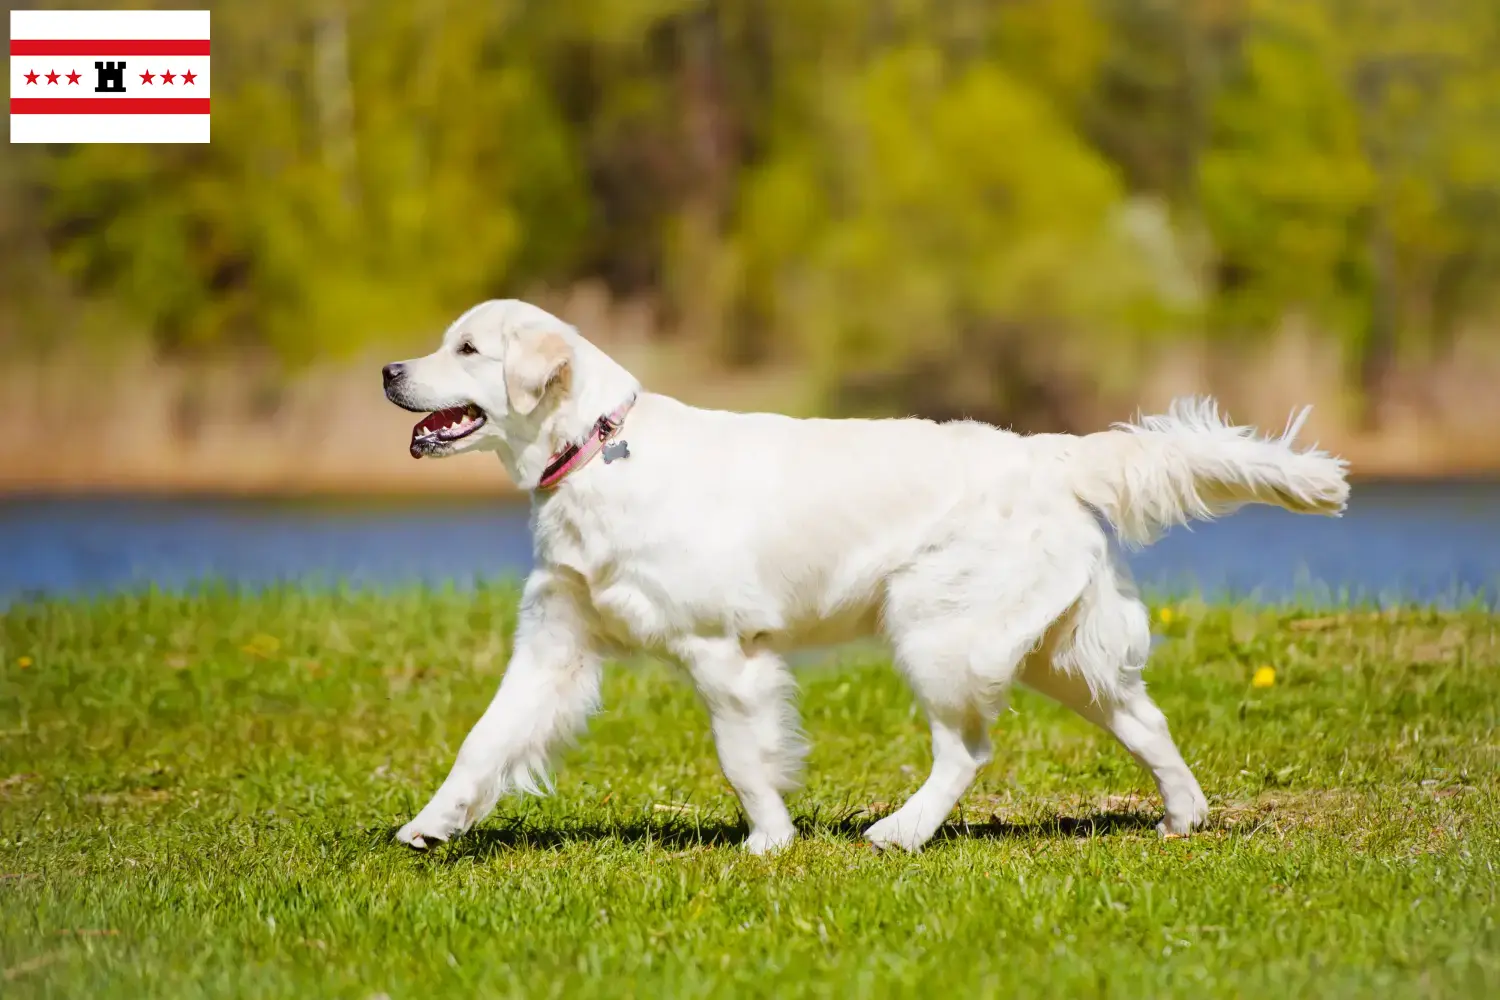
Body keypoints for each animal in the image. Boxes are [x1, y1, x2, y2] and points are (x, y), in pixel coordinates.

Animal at [381, 296, 1356, 851]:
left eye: (468, 350)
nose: (390, 369)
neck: (598, 451)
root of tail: (1051, 451)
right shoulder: (555, 642)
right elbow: (484, 741)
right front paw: (430, 825)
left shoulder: (723, 652)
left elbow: (743, 758)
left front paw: (770, 843)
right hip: (1060, 653)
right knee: (1145, 720)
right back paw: (1183, 816)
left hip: (939, 633)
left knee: (967, 750)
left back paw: (900, 832)